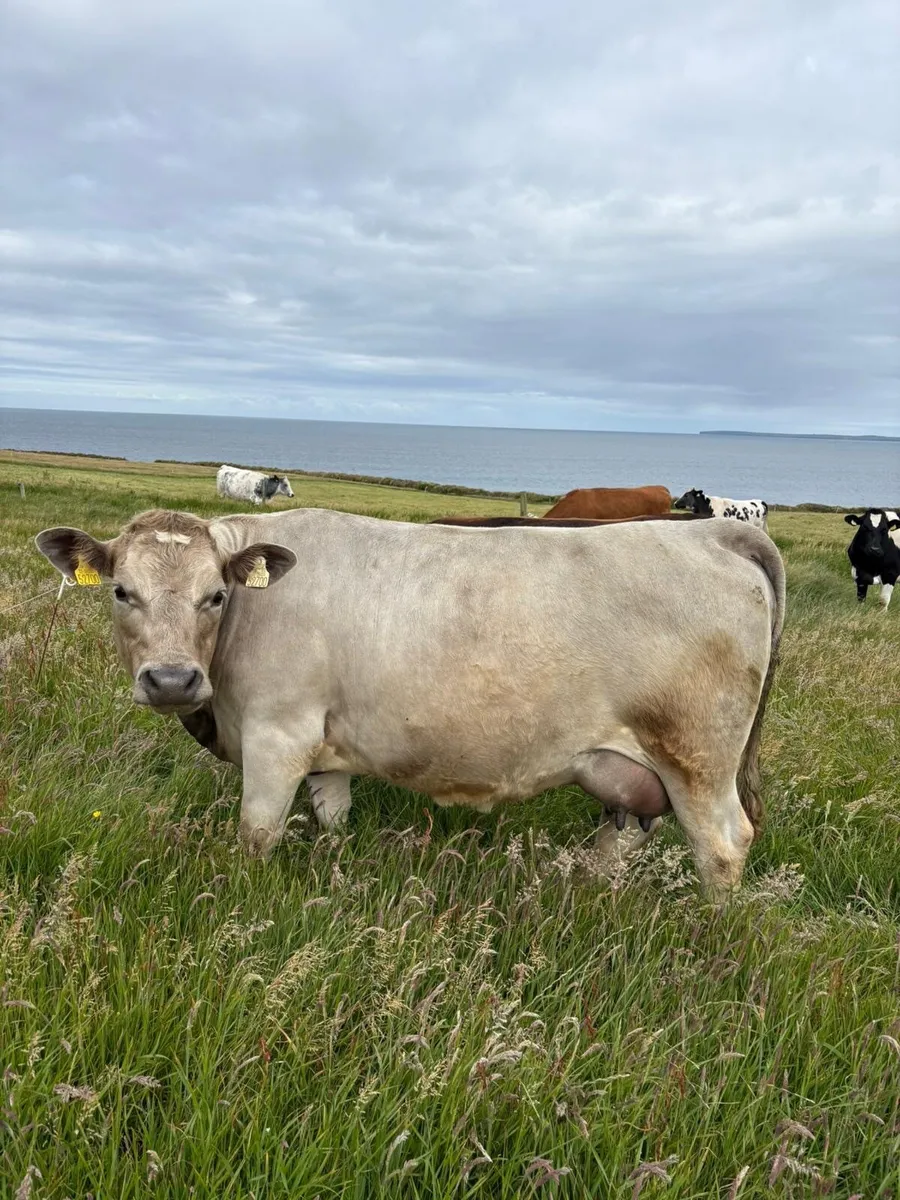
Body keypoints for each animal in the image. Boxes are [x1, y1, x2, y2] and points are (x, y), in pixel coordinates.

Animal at [35, 507, 785, 902]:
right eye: (121, 591)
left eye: (214, 595)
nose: (171, 680)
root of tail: (714, 531)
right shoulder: (326, 749)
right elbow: (333, 815)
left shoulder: (278, 735)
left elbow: (256, 833)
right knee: (624, 832)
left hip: (696, 757)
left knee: (723, 845)